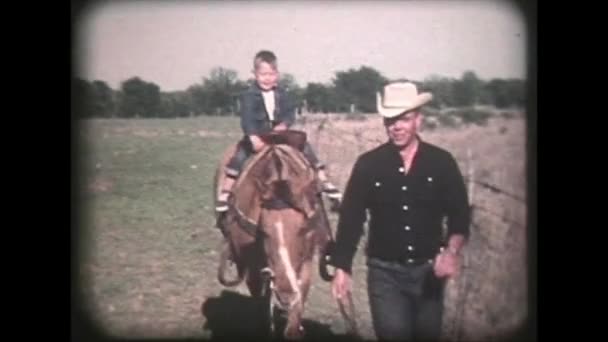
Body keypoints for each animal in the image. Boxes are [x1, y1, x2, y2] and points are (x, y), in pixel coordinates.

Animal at [213, 132, 338, 340]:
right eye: (263, 232)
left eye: (302, 229)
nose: (285, 294)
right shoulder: (254, 269)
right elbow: (261, 304)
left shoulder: (305, 265)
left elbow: (294, 322)